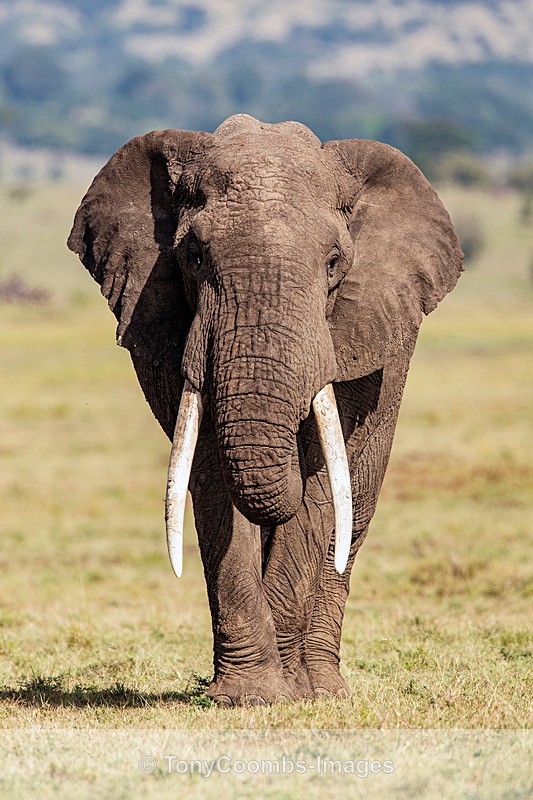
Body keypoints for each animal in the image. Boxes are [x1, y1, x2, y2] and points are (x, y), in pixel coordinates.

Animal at [68, 114, 462, 706]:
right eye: (194, 257)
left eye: (333, 264)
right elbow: (211, 473)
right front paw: (249, 696)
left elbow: (320, 488)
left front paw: (287, 692)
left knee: (351, 520)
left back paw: (324, 689)